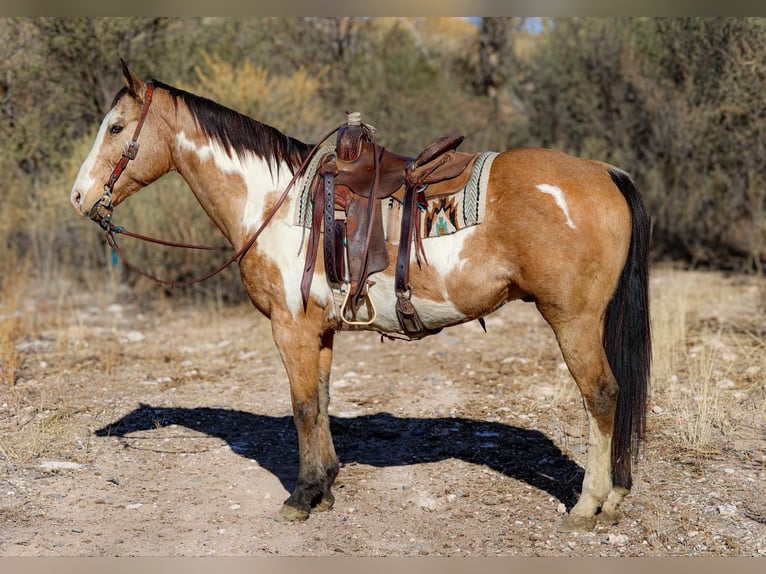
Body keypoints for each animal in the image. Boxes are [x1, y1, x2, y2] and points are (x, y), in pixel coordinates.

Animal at [70, 62, 651, 531]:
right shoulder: (319, 330)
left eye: (116, 127)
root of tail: (605, 171)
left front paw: (301, 497)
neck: (274, 202)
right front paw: (325, 486)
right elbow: (323, 400)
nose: (78, 196)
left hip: (573, 319)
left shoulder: (290, 328)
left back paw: (588, 505)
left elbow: (303, 406)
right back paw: (614, 496)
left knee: (602, 394)